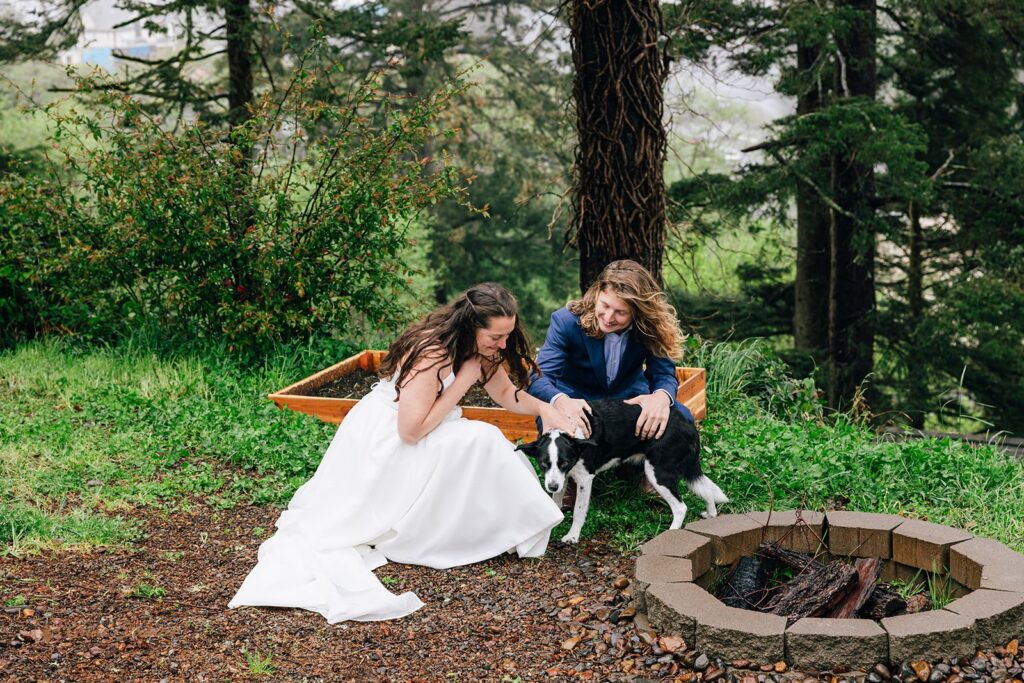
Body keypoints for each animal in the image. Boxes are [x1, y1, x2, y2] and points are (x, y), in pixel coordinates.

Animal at [520, 401, 729, 544]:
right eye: (543, 464)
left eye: (564, 463)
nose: (552, 486)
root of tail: (688, 426)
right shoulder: (560, 478)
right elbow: (556, 501)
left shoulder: (584, 478)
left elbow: (579, 510)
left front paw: (572, 536)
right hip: (683, 466)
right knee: (705, 488)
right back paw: (711, 514)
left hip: (658, 472)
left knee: (680, 507)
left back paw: (671, 532)